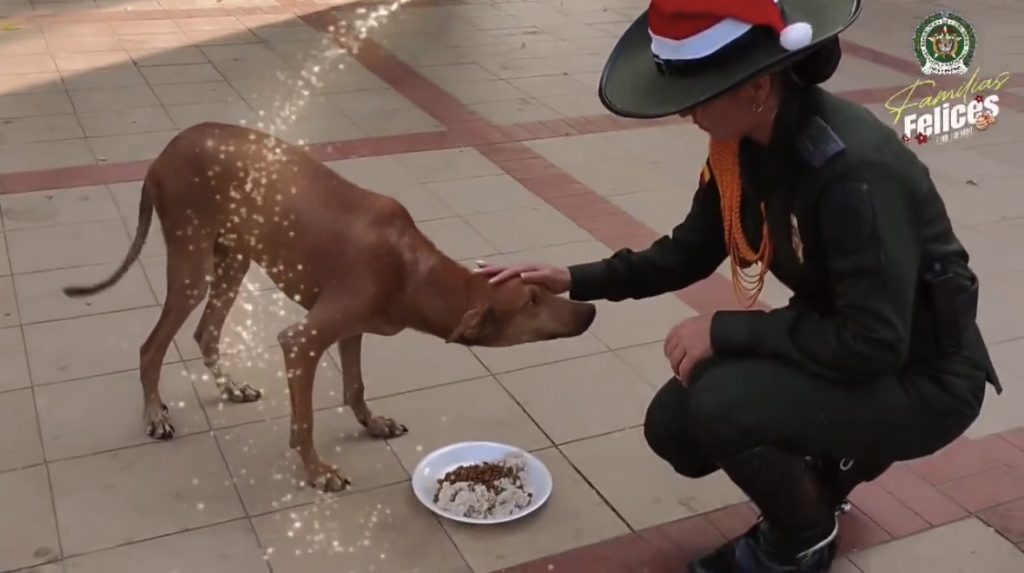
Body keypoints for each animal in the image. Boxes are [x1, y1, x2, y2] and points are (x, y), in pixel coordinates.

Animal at [61, 121, 593, 493]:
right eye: (531, 300)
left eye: (537, 286)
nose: (589, 312)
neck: (412, 268)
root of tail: (163, 154)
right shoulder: (301, 342)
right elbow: (305, 421)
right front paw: (317, 472)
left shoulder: (351, 329)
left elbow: (355, 385)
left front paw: (372, 423)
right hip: (192, 268)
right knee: (151, 346)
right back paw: (155, 415)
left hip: (232, 261)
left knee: (205, 332)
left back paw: (229, 387)